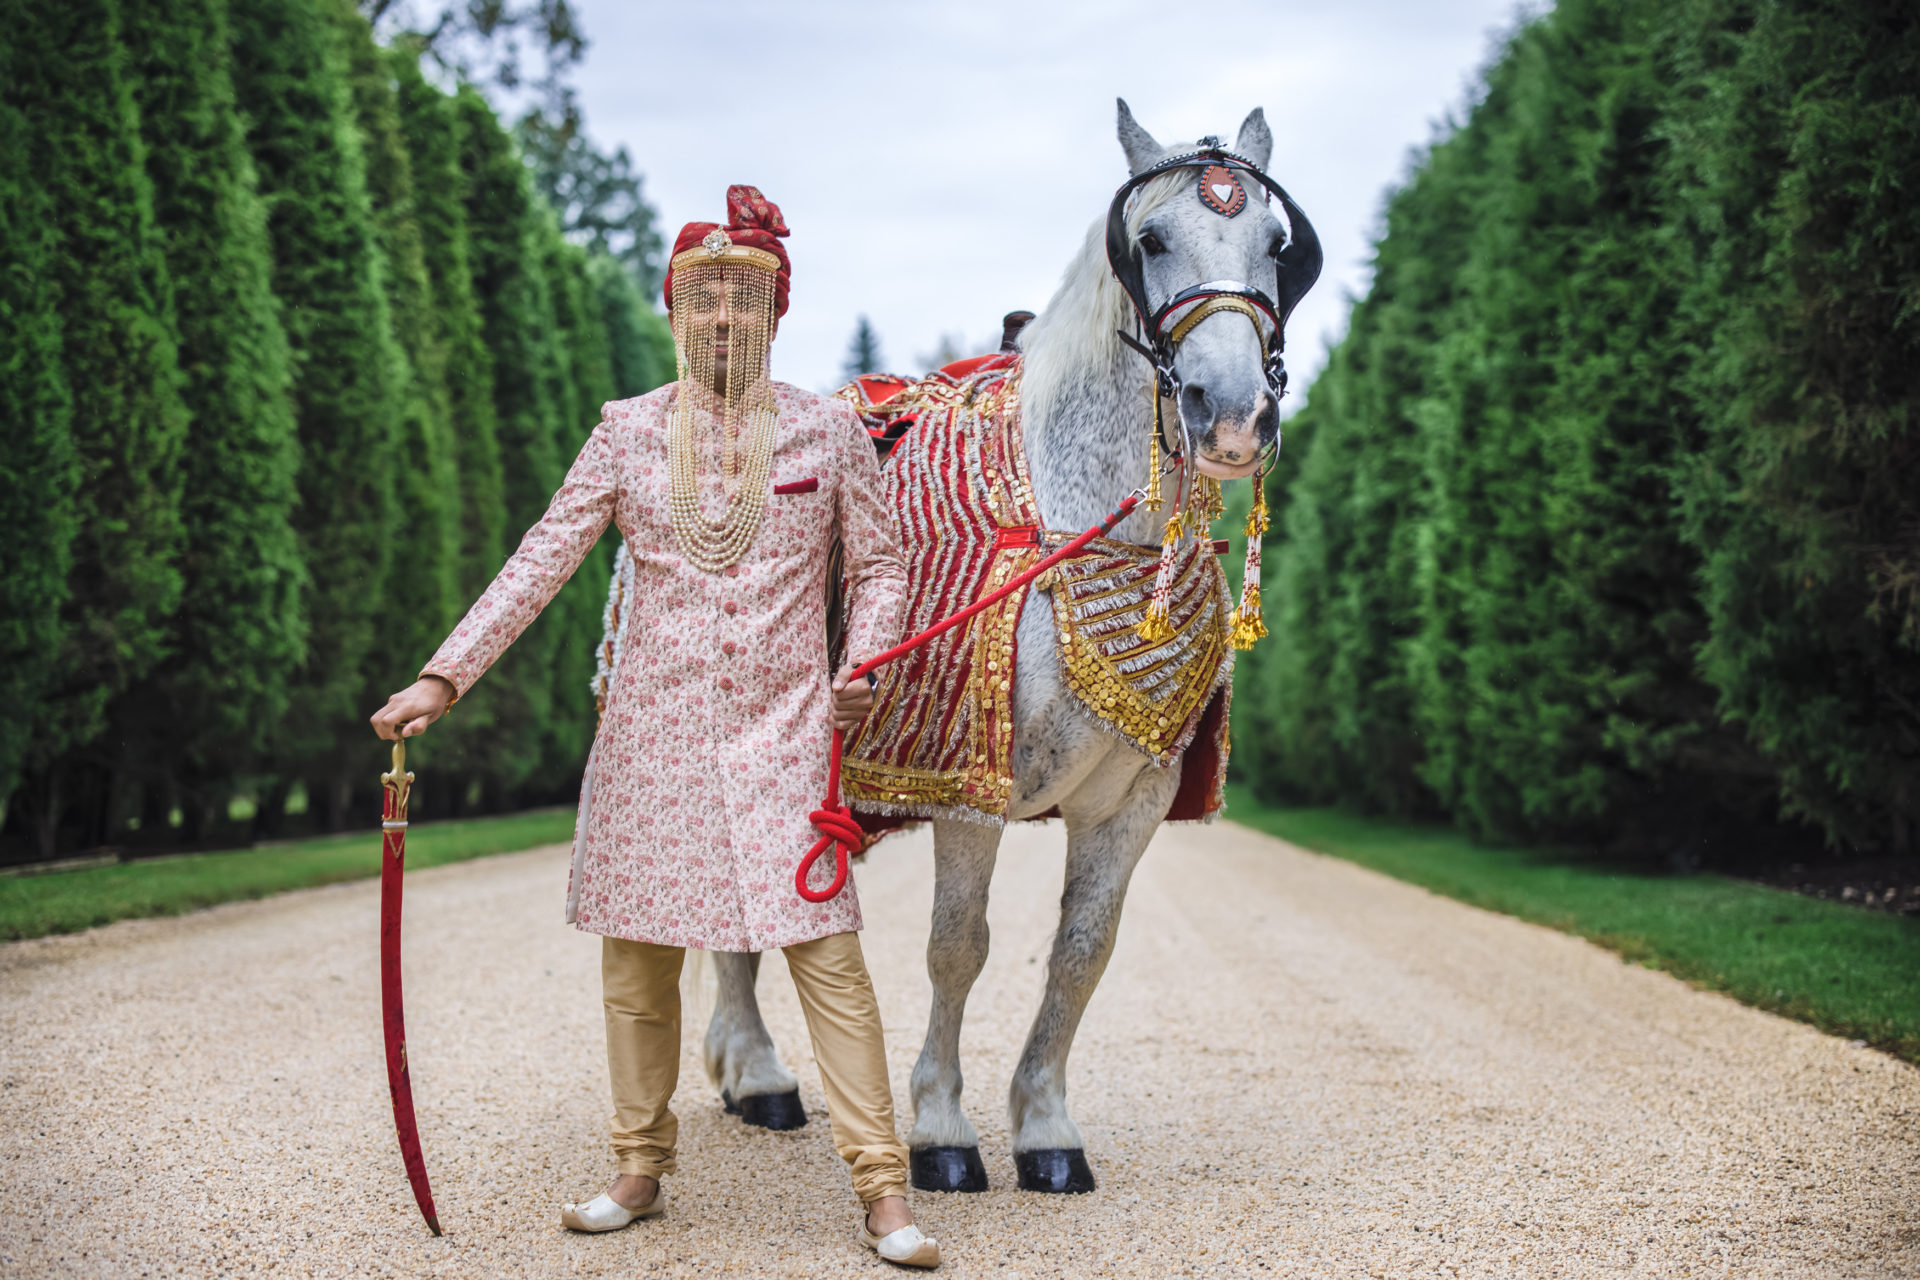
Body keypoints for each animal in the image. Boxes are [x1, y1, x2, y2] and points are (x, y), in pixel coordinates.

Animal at [683, 105, 1313, 1197]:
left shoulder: (1135, 800)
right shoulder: (964, 785)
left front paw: (1046, 1126)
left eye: (1276, 244)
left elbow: (1081, 952)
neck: (1084, 525)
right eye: (1151, 238)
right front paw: (940, 1125)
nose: (1232, 411)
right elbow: (957, 948)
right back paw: (756, 1069)